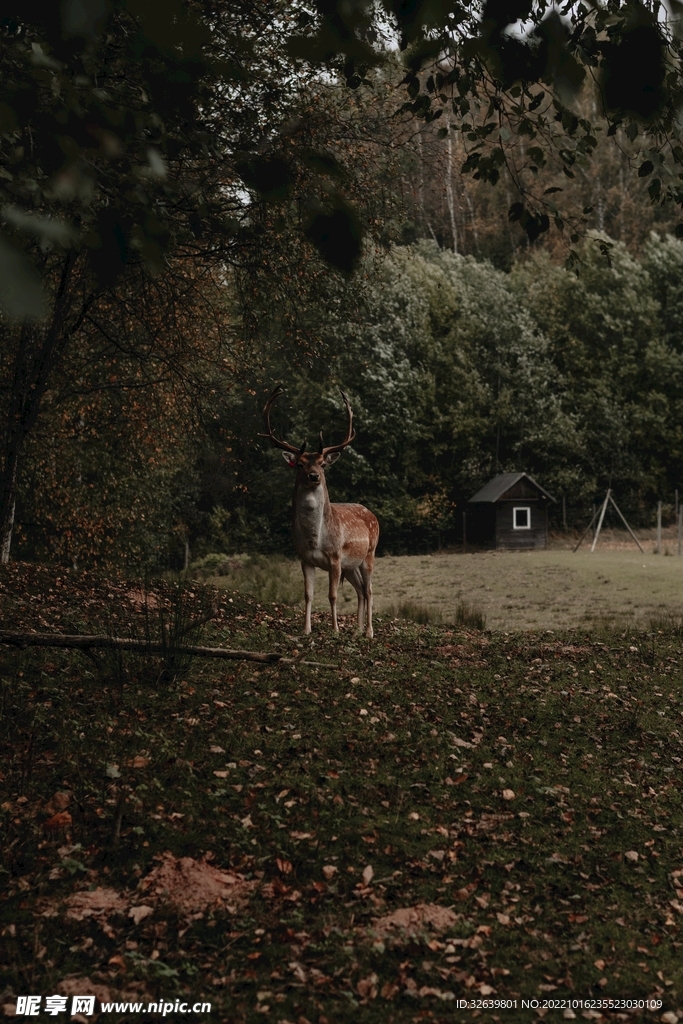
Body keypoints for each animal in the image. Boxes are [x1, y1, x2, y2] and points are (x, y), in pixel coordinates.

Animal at [260, 386, 379, 638]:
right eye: (300, 464)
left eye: (322, 464)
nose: (314, 475)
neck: (315, 539)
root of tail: (372, 515)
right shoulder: (304, 558)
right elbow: (308, 594)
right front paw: (306, 630)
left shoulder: (335, 557)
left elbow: (332, 596)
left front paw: (334, 629)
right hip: (351, 565)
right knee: (361, 590)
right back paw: (357, 630)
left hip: (369, 553)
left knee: (370, 589)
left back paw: (369, 632)